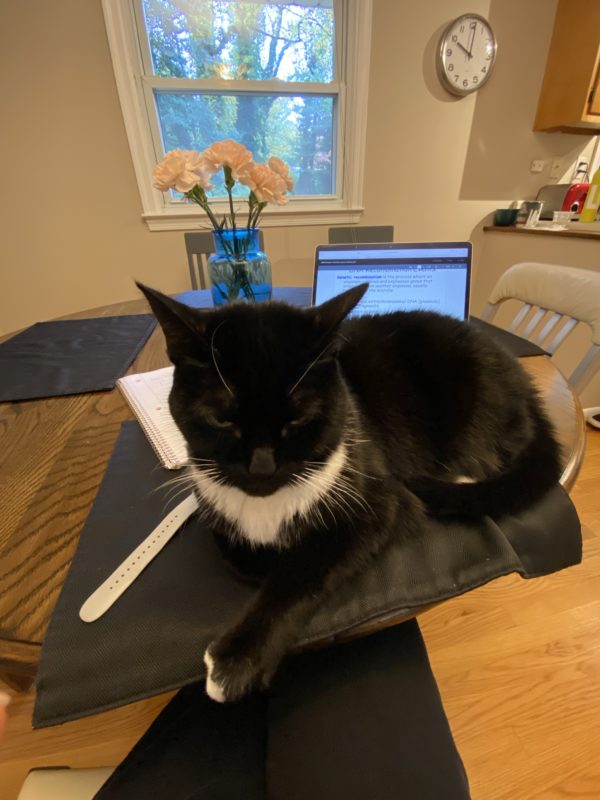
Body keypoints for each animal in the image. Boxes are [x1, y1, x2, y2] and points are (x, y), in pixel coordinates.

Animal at [138, 282, 560, 700]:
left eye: (298, 418)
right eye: (221, 419)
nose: (262, 466)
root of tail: (523, 380)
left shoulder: (376, 501)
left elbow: (301, 572)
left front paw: (236, 662)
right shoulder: (206, 493)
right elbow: (233, 549)